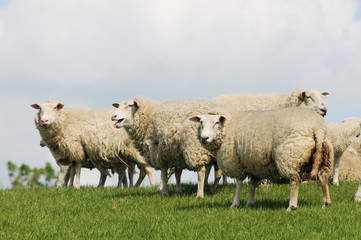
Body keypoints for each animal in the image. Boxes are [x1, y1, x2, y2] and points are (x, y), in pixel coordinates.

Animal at [190, 108, 334, 211]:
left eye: (216, 122)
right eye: (201, 123)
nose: (204, 138)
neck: (228, 127)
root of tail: (318, 128)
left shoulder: (236, 162)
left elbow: (239, 184)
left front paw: (235, 204)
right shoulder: (254, 165)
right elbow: (252, 185)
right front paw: (250, 203)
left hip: (290, 156)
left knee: (294, 181)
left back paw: (291, 206)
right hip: (325, 156)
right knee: (323, 177)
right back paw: (326, 203)